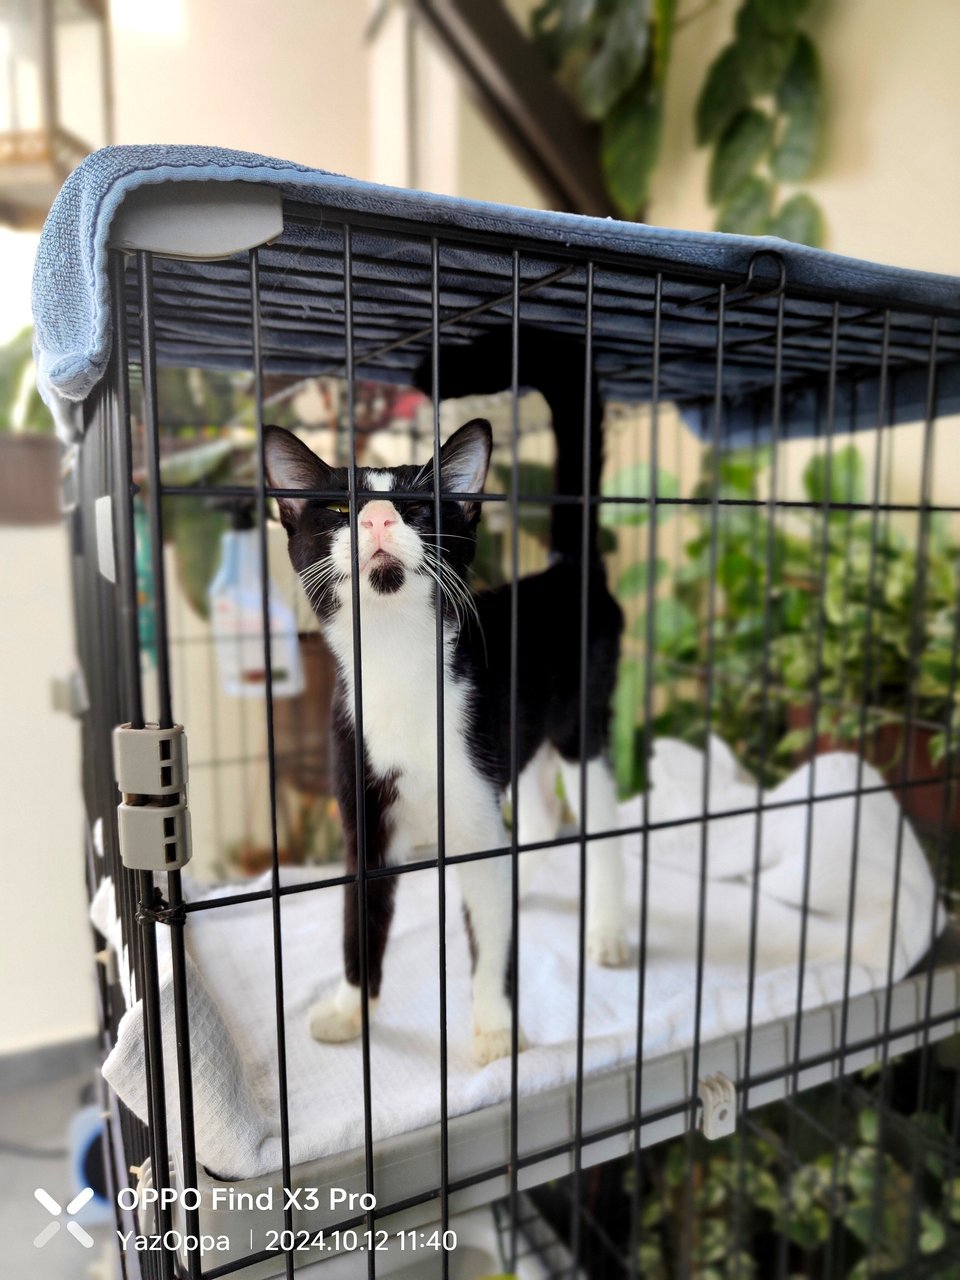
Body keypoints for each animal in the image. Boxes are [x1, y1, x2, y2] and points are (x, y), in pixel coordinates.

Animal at [264, 327, 624, 1059]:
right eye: (338, 508)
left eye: (415, 507)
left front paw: (495, 1031)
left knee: (599, 819)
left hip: (583, 718)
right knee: (538, 804)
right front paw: (349, 1009)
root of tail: (567, 569)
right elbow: (360, 916)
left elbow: (487, 932)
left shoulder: (474, 796)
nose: (377, 517)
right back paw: (529, 878)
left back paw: (604, 927)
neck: (399, 666)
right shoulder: (364, 805)